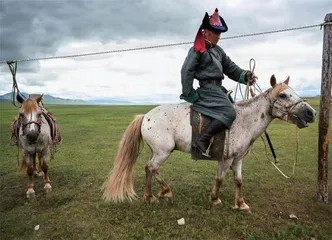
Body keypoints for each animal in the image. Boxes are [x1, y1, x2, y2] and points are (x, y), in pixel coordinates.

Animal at [103, 75, 316, 214]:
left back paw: (150, 196)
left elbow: (238, 180)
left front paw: (241, 204)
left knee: (148, 168)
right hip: (163, 152)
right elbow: (220, 179)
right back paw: (165, 191)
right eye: (283, 95)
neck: (243, 120)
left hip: (156, 151)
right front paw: (215, 199)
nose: (311, 113)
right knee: (151, 168)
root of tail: (145, 116)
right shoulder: (226, 158)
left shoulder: (238, 159)